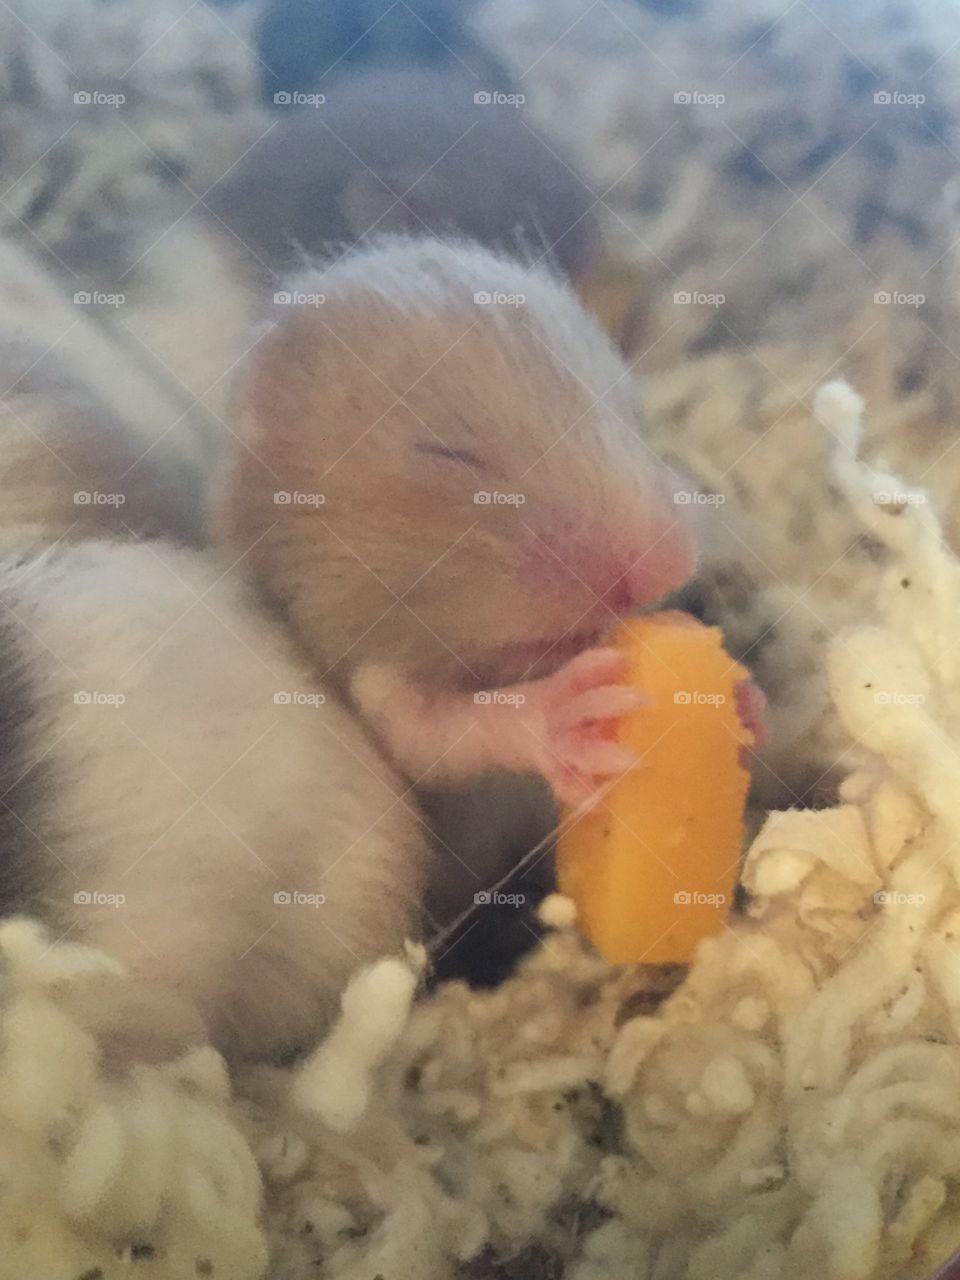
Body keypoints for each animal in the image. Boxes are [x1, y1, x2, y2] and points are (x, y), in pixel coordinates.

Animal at [215, 237, 698, 909]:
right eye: (447, 454)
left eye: (628, 407)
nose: (671, 565)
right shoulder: (367, 669)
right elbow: (441, 733)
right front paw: (568, 711)